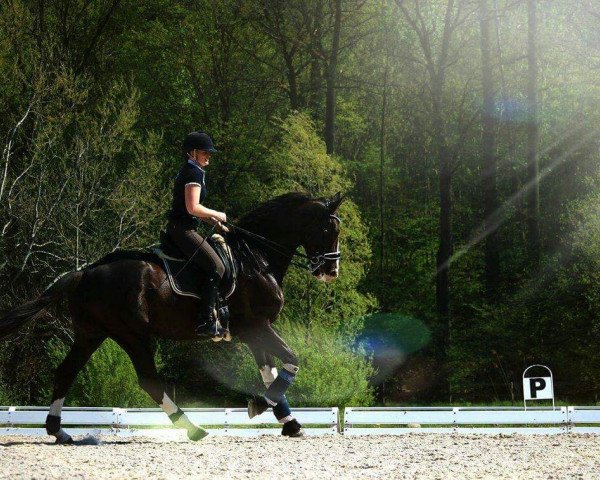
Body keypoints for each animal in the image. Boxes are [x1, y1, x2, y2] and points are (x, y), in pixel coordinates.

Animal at [0, 190, 344, 442]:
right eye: (330, 228)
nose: (331, 272)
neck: (257, 258)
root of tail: (86, 272)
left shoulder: (255, 331)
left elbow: (270, 373)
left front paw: (289, 422)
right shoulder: (256, 326)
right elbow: (292, 361)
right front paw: (261, 406)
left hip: (91, 332)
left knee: (65, 373)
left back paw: (58, 431)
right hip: (131, 334)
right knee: (149, 380)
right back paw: (192, 428)